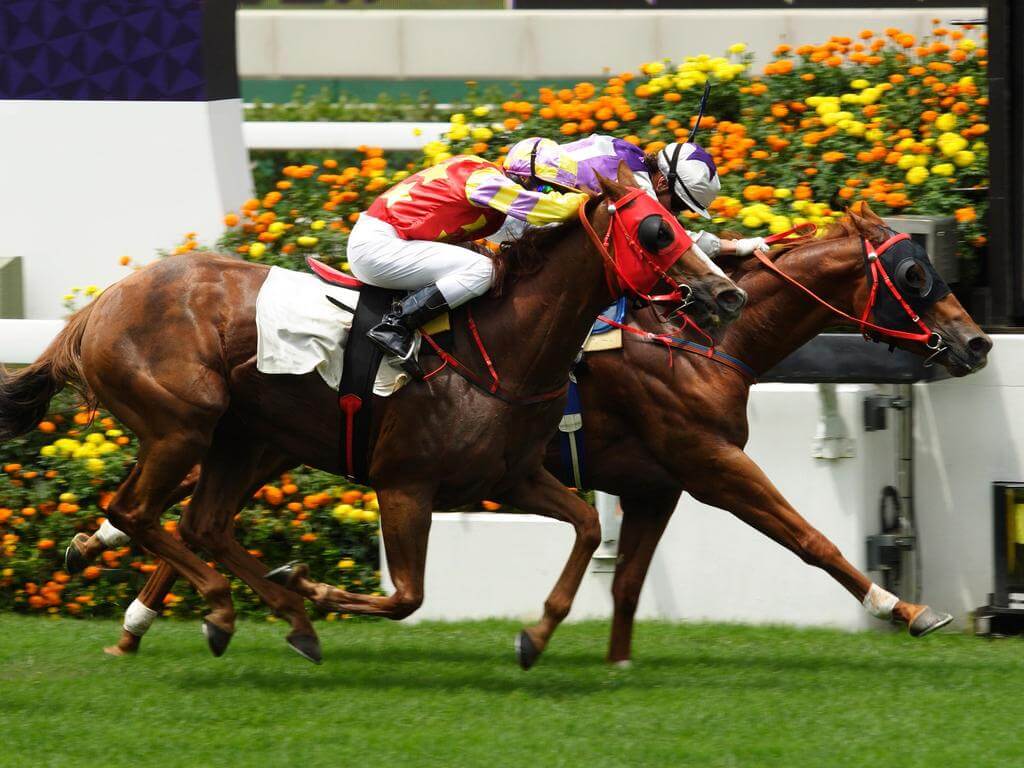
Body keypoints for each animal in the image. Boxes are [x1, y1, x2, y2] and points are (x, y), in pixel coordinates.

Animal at [544, 207, 991, 663]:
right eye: (913, 274)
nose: (978, 343)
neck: (695, 343)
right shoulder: (712, 464)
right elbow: (811, 539)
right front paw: (904, 608)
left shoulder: (655, 486)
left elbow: (628, 584)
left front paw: (617, 661)